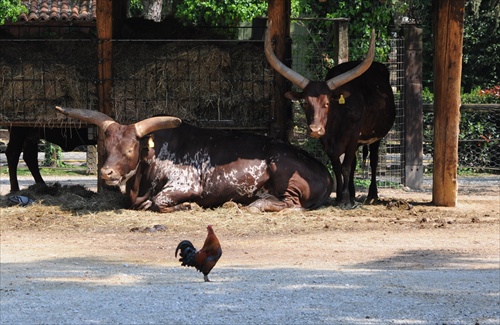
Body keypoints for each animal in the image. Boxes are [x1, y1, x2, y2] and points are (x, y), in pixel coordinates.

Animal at [54, 106, 334, 213]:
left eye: (130, 150)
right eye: (106, 148)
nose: (107, 173)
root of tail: (324, 171)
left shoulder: (186, 184)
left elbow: (158, 201)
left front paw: (188, 206)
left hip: (283, 171)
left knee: (290, 204)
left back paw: (256, 204)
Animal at [266, 24, 394, 209]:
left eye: (327, 103)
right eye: (305, 102)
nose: (315, 129)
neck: (336, 121)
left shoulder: (353, 136)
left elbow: (346, 166)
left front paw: (345, 200)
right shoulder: (327, 141)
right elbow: (338, 167)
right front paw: (341, 196)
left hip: (375, 137)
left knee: (374, 160)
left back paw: (371, 195)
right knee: (354, 164)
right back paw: (353, 194)